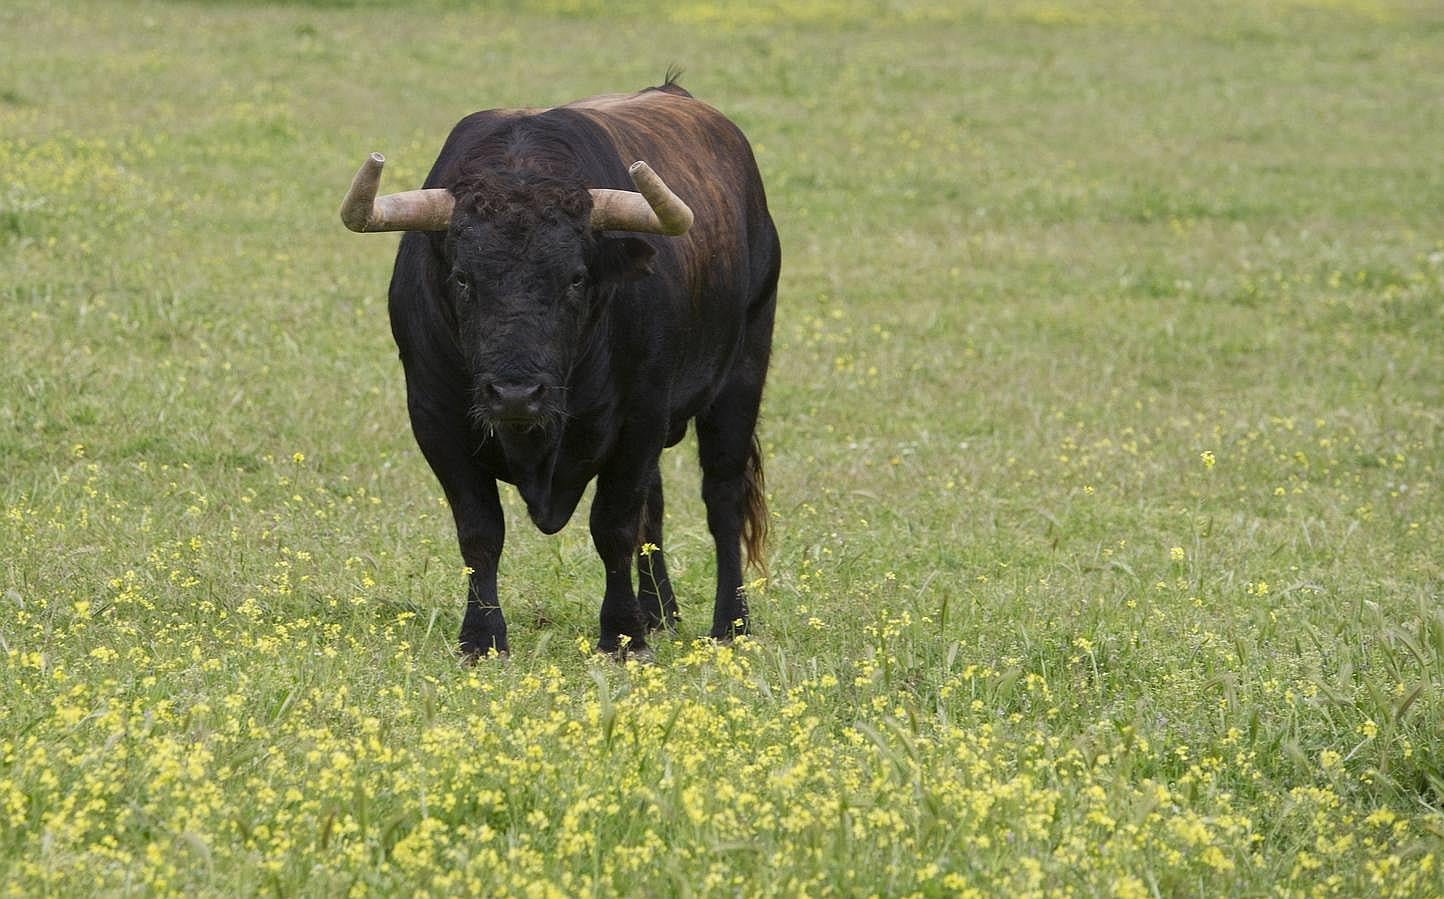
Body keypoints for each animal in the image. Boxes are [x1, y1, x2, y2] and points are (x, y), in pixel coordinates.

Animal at [349, 82, 779, 660]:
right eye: (462, 278)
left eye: (576, 278)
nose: (515, 394)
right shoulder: (435, 418)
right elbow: (479, 531)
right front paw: (481, 637)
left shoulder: (640, 414)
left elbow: (614, 526)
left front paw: (622, 635)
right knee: (656, 503)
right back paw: (660, 612)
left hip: (740, 376)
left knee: (722, 497)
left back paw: (730, 624)